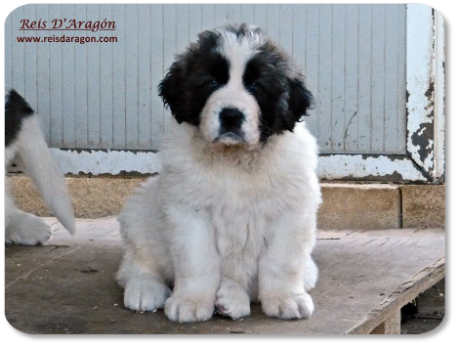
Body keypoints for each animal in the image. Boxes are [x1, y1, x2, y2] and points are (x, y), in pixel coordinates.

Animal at [117, 24, 322, 324]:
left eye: (256, 85)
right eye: (211, 82)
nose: (231, 115)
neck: (233, 160)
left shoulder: (293, 210)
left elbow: (282, 260)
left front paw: (286, 299)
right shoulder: (188, 209)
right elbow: (197, 259)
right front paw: (191, 302)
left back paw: (231, 297)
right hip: (141, 210)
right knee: (136, 264)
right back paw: (145, 289)